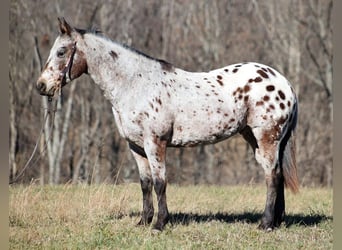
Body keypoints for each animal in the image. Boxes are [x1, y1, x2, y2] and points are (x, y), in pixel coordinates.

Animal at [36, 18, 298, 232]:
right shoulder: (136, 147)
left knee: (272, 175)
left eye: (61, 52)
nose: (41, 86)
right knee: (276, 175)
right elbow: (145, 184)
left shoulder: (155, 143)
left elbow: (160, 182)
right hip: (254, 138)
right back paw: (276, 221)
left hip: (266, 138)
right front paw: (144, 221)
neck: (135, 84)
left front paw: (160, 224)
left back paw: (265, 224)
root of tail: (283, 83)